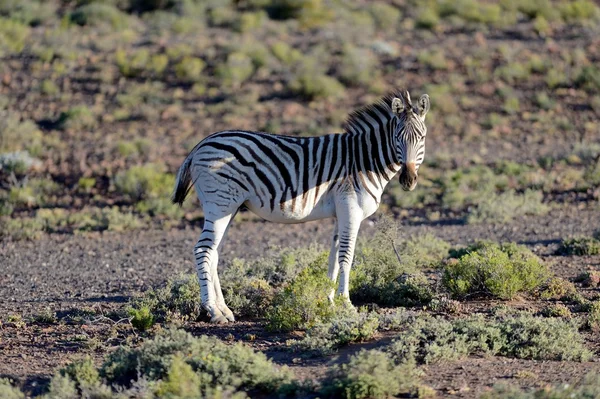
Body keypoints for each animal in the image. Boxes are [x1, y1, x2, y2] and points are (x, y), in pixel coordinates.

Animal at [171, 89, 428, 324]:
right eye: (397, 137)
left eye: (422, 138)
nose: (408, 180)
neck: (365, 160)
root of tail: (201, 144)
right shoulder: (351, 209)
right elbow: (347, 257)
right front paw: (347, 304)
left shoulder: (340, 212)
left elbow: (333, 258)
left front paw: (329, 302)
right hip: (220, 204)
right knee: (203, 250)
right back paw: (213, 312)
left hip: (228, 207)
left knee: (213, 254)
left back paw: (224, 309)